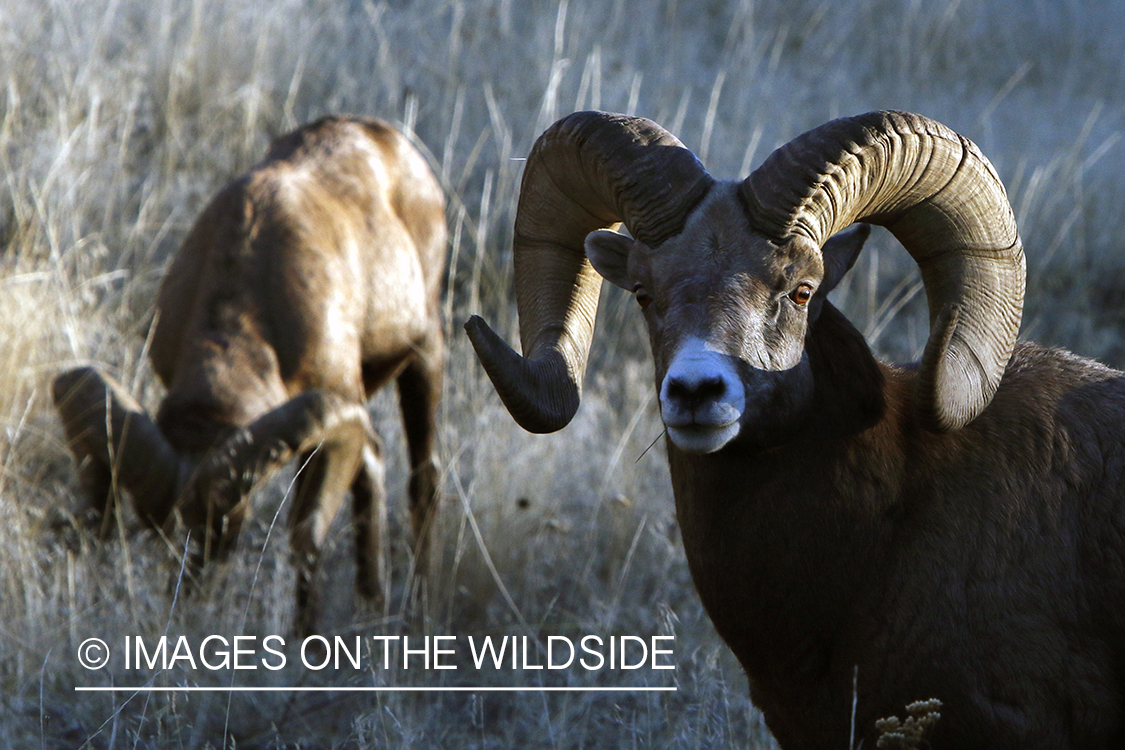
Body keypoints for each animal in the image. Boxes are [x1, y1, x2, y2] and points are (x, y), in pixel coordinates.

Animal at [54, 115, 445, 634]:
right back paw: (373, 604)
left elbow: (305, 534)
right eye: (153, 527)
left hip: (425, 352)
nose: (189, 599)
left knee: (423, 479)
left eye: (229, 525)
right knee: (373, 470)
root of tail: (385, 137)